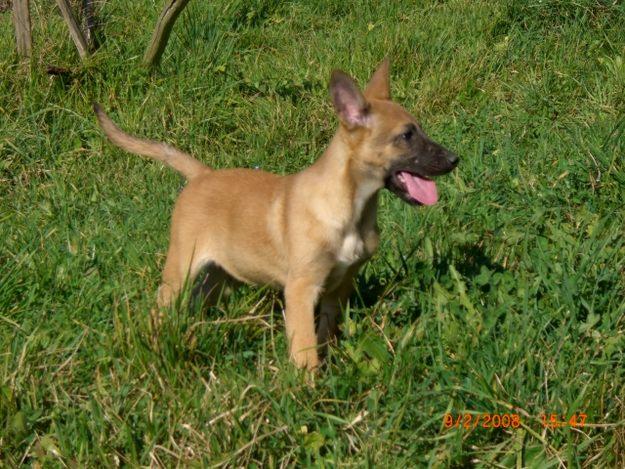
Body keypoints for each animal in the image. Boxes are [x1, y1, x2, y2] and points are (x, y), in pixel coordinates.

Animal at [92, 59, 456, 370]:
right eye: (406, 136)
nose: (455, 159)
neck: (350, 207)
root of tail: (202, 175)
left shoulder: (339, 287)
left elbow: (322, 335)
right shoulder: (301, 290)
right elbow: (305, 349)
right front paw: (308, 392)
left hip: (217, 275)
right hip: (180, 268)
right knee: (160, 309)